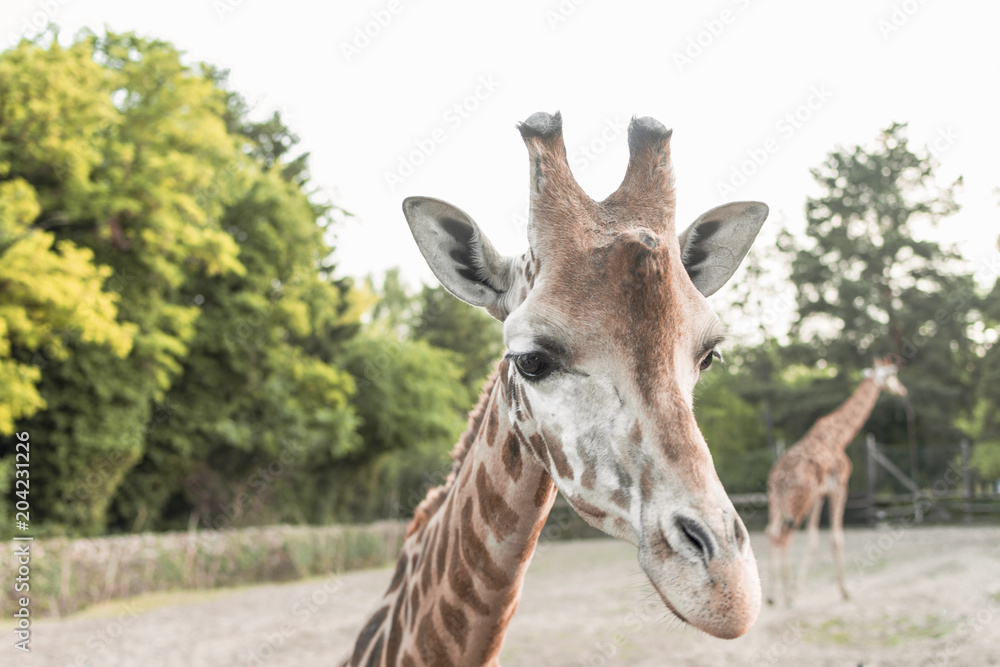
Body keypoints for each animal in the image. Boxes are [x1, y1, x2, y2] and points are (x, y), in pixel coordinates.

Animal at [765, 357, 908, 606]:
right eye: (892, 374)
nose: (902, 390)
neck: (841, 435)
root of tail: (778, 477)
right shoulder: (840, 487)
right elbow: (836, 538)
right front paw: (845, 591)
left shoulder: (820, 495)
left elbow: (813, 540)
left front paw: (800, 588)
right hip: (798, 501)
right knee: (783, 538)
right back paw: (787, 597)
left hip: (776, 502)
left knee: (771, 533)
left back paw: (773, 595)